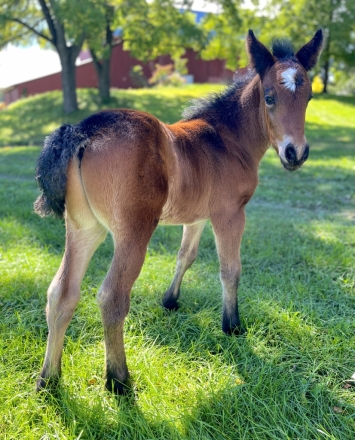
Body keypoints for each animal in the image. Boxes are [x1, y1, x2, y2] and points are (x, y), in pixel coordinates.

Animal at [35, 31, 322, 396]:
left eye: (309, 96)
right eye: (269, 98)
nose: (295, 153)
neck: (226, 140)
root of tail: (83, 130)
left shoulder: (197, 217)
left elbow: (185, 256)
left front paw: (170, 300)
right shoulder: (230, 214)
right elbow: (230, 269)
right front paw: (232, 324)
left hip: (84, 228)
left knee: (61, 293)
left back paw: (48, 379)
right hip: (134, 232)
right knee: (112, 297)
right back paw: (118, 379)